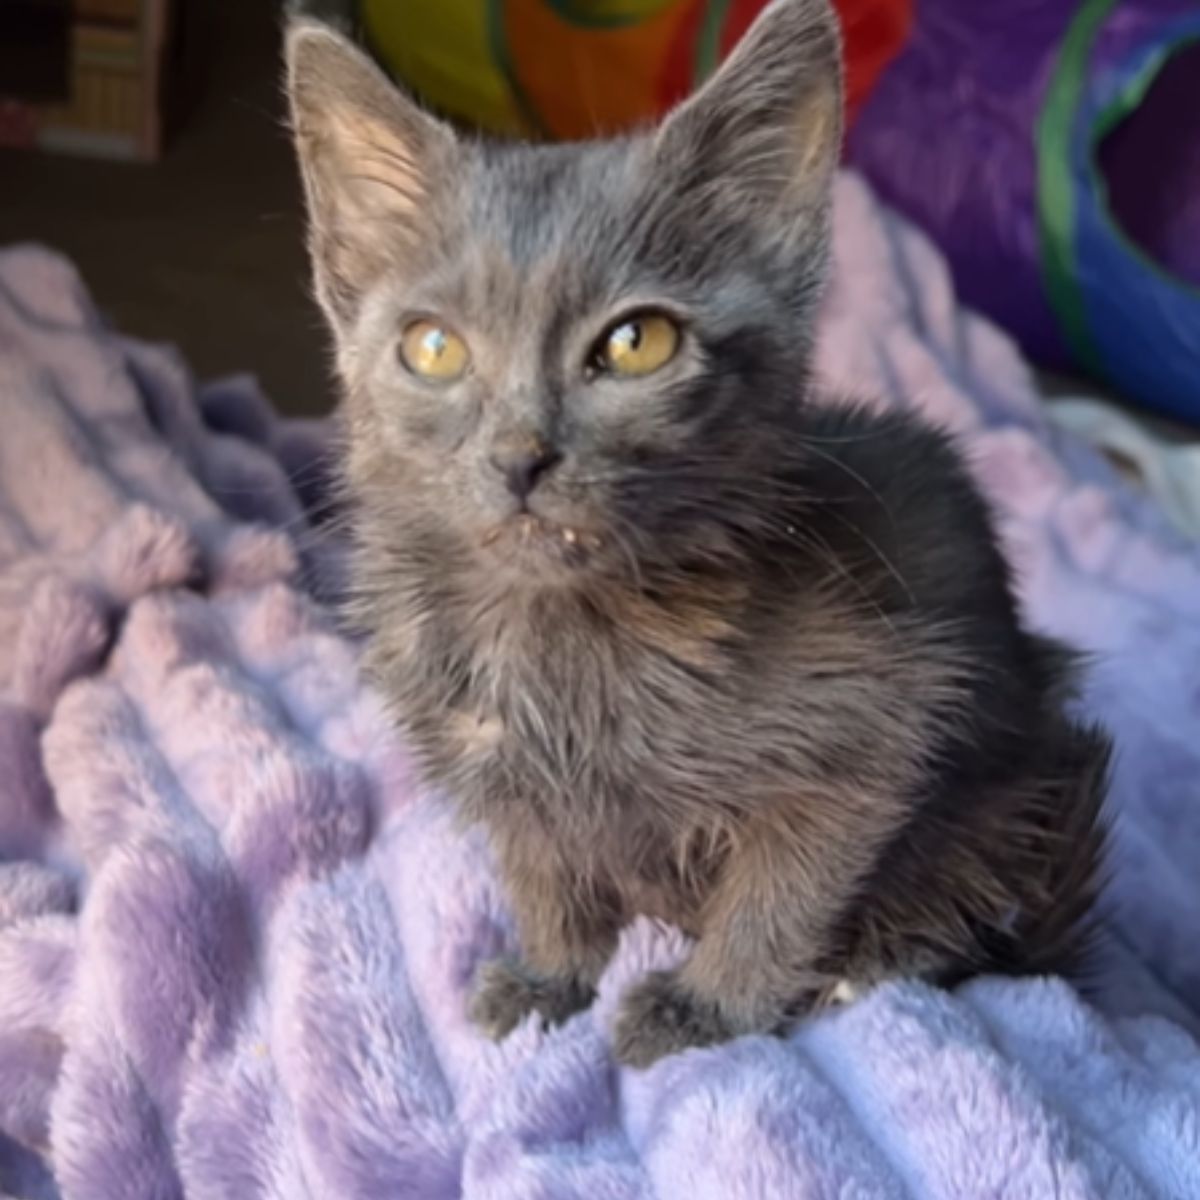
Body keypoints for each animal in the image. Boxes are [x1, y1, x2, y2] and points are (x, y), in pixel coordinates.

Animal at [285, 0, 1108, 1070]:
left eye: (638, 344)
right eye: (433, 348)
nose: (519, 456)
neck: (560, 635)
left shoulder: (883, 722)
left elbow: (781, 887)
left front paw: (707, 1009)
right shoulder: (506, 768)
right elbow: (544, 865)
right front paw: (555, 974)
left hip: (1020, 792)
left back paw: (872, 967)